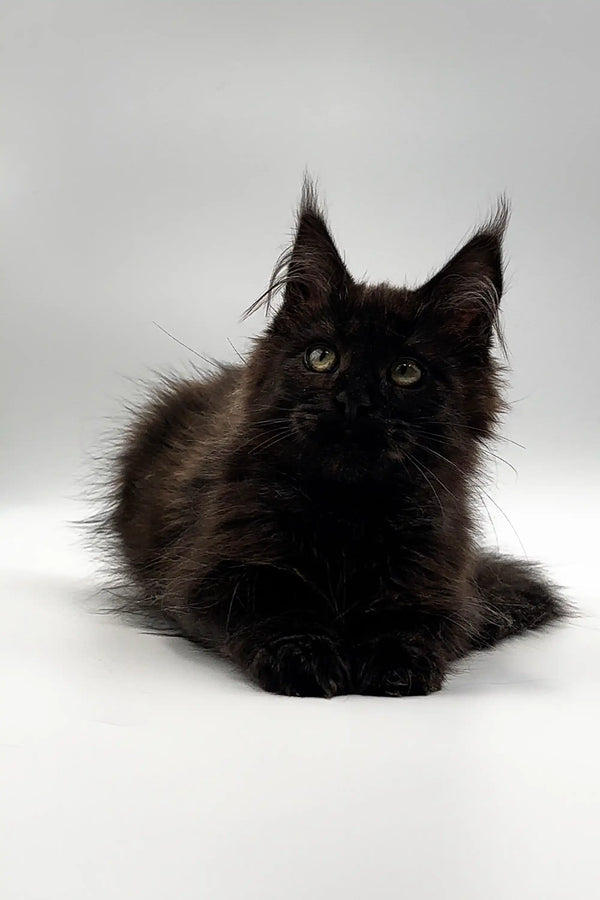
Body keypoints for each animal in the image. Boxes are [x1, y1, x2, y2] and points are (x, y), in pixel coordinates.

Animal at [106, 181, 568, 696]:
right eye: (321, 357)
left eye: (405, 370)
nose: (353, 401)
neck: (349, 509)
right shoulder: (211, 568)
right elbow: (277, 605)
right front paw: (308, 658)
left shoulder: (440, 575)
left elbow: (411, 619)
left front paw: (392, 661)